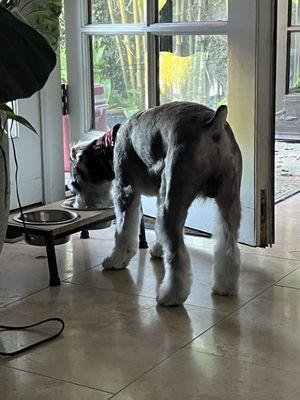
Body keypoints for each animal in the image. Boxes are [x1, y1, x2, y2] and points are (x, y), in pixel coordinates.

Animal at [69, 101, 243, 304]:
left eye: (75, 184)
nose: (78, 206)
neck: (110, 145)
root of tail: (214, 125)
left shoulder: (125, 189)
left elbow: (123, 230)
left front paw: (116, 259)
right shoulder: (162, 192)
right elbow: (158, 229)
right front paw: (159, 249)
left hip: (174, 200)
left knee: (177, 255)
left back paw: (170, 296)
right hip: (228, 200)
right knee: (229, 246)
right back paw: (225, 286)